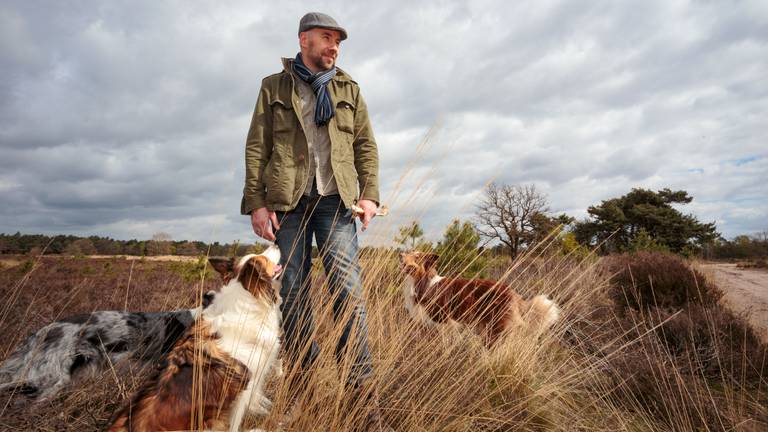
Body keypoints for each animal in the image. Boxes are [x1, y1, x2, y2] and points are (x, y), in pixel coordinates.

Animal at [402, 250, 560, 348]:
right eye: (410, 252)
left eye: (417, 256)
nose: (400, 254)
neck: (423, 281)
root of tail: (512, 293)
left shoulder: (445, 322)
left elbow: (445, 342)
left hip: (496, 326)